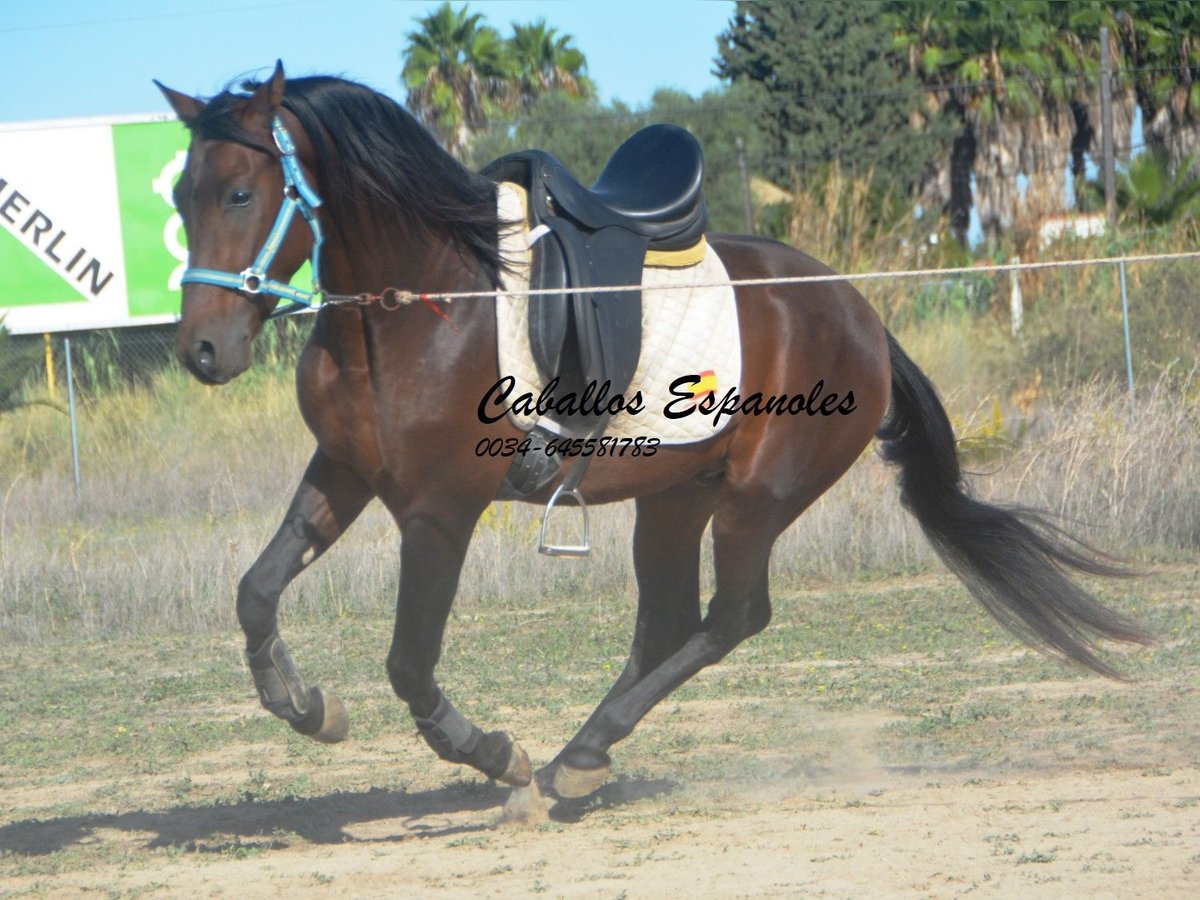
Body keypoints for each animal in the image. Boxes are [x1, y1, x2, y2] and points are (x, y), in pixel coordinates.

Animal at [154, 63, 1147, 806]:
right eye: (180, 198)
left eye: (240, 192)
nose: (202, 349)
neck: (419, 301)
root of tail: (859, 311)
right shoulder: (344, 471)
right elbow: (255, 591)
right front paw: (302, 702)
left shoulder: (439, 512)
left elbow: (409, 662)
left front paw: (493, 752)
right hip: (675, 497)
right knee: (667, 624)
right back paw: (583, 756)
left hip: (756, 500)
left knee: (732, 619)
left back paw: (572, 760)